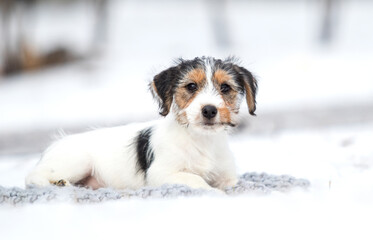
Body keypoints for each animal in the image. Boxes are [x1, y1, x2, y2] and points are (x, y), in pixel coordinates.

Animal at [25, 56, 256, 191]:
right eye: (191, 86)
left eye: (225, 88)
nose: (209, 110)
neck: (201, 140)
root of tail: (54, 144)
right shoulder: (162, 173)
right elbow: (197, 181)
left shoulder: (227, 176)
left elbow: (236, 182)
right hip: (77, 161)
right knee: (32, 177)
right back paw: (59, 184)